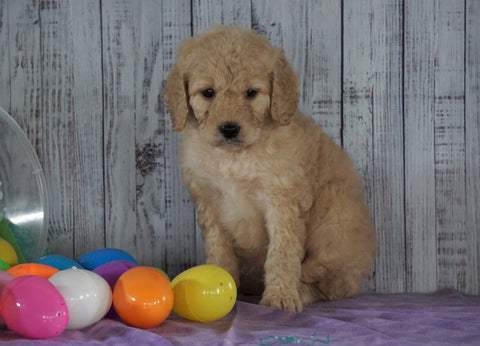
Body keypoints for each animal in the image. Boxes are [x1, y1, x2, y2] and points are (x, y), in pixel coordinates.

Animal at [165, 24, 376, 310]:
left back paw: (301, 289)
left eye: (251, 93)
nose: (229, 129)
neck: (235, 156)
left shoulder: (283, 200)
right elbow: (218, 250)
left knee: (329, 282)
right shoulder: (209, 202)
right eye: (208, 92)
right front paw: (220, 283)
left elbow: (283, 252)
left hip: (337, 227)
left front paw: (281, 296)